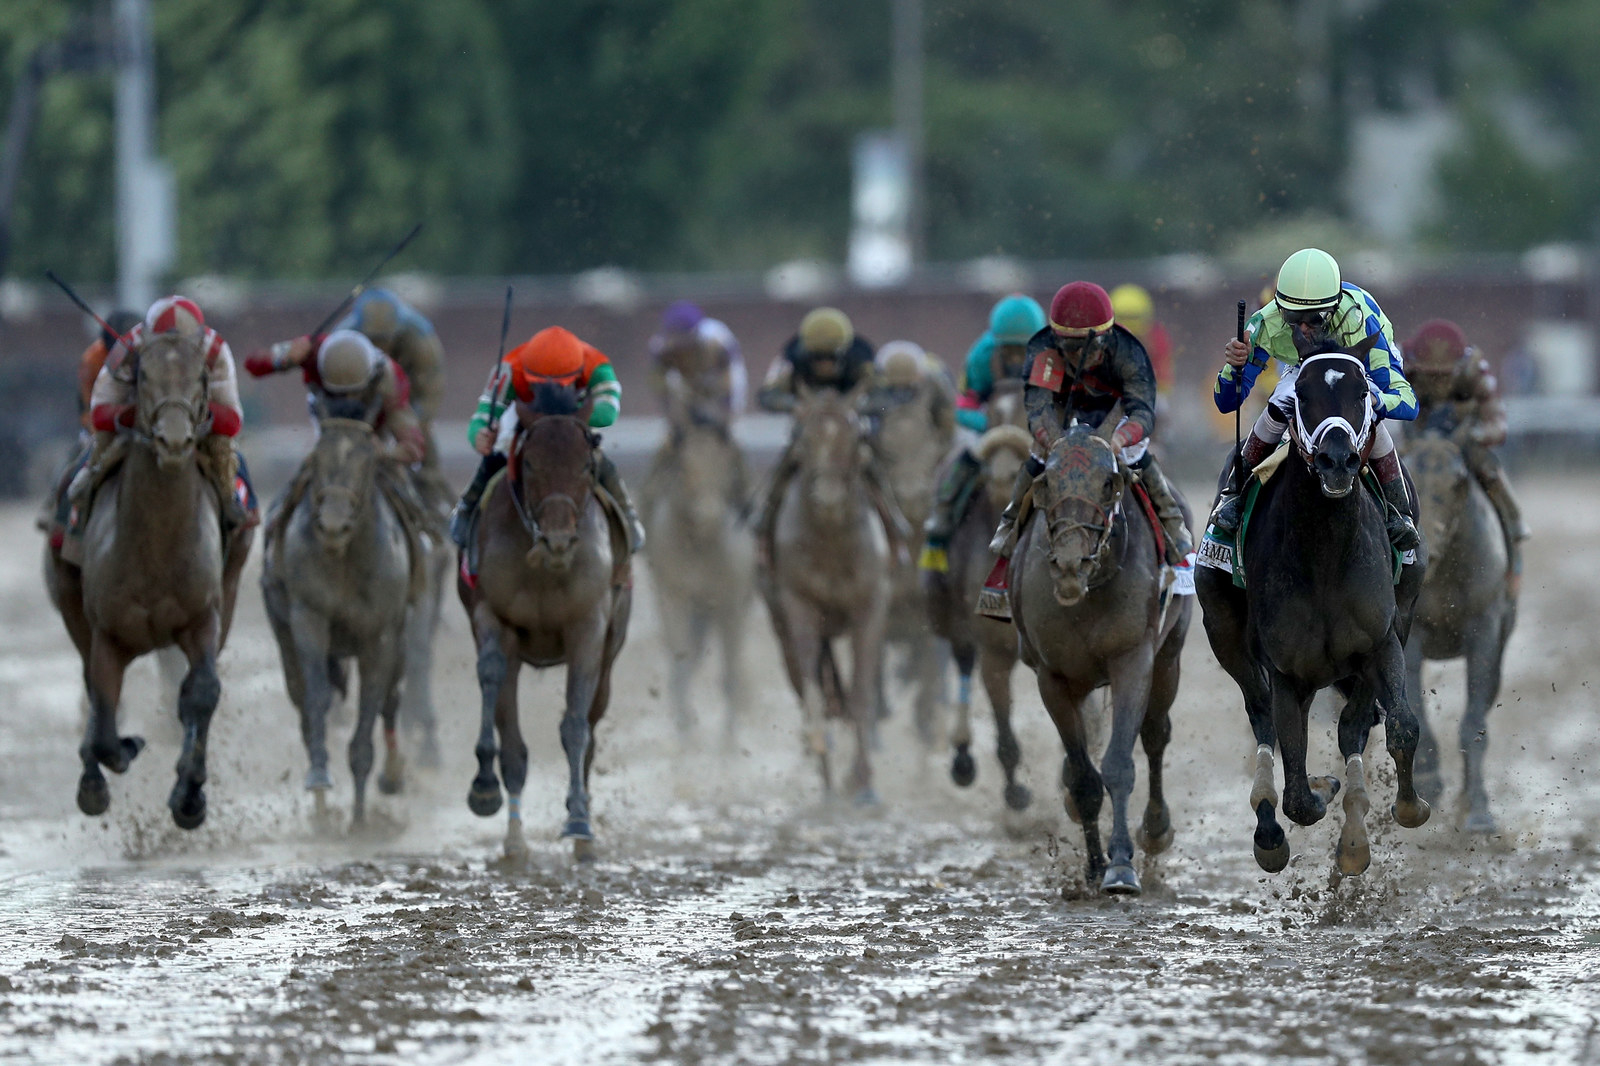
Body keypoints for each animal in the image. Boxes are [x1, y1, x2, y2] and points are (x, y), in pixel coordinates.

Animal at [262, 416, 416, 819]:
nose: (333, 525)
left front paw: (361, 817)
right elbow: (316, 697)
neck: (345, 559)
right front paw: (319, 778)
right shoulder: (308, 615)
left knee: (392, 699)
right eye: (316, 459)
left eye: (368, 463)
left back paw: (392, 775)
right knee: (302, 697)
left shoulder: (382, 634)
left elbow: (371, 705)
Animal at [457, 385, 630, 857]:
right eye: (531, 462)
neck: (544, 567)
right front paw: (484, 789)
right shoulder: (493, 616)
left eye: (586, 464)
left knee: (591, 722)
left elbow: (574, 727)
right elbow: (493, 676)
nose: (558, 541)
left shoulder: (588, 627)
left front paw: (578, 821)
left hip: (611, 649)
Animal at [1011, 419, 1190, 889]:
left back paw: (1155, 829)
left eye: (1109, 483)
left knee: (1155, 734)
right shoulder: (1052, 678)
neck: (1089, 593)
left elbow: (1118, 765)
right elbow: (1084, 779)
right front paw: (1094, 866)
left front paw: (1122, 864)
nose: (1070, 565)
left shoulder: (1133, 659)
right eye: (1047, 482)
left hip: (1169, 658)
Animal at [1203, 347, 1427, 870]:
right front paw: (1320, 788)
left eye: (1362, 391)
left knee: (1353, 728)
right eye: (1301, 395)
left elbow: (1397, 726)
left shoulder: (1380, 643)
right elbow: (1298, 796)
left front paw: (1407, 807)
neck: (1326, 553)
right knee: (1261, 717)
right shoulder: (1288, 672)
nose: (1338, 460)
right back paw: (1270, 830)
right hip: (1224, 633)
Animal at [1401, 432, 1510, 832]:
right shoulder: (1412, 635)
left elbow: (1474, 722)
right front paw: (1428, 783)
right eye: (1408, 475)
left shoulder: (1485, 630)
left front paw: (1477, 810)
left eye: (1460, 482)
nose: (1425, 550)